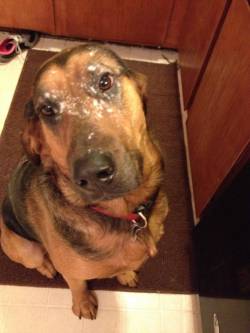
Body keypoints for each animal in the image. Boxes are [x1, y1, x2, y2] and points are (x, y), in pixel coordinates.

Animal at [0, 42, 168, 318]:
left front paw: (125, 274)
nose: (92, 173)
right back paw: (47, 267)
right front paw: (83, 303)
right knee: (37, 259)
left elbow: (123, 267)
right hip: (25, 249)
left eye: (105, 81)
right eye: (47, 110)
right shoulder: (72, 272)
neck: (122, 214)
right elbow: (76, 284)